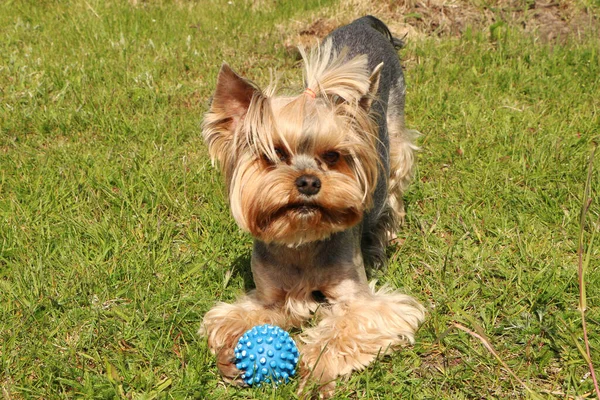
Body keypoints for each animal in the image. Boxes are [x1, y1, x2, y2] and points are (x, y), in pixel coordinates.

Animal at [199, 14, 424, 396]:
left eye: (332, 156)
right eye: (274, 153)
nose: (308, 181)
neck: (302, 239)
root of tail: (365, 20)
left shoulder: (362, 300)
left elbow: (348, 324)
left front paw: (312, 367)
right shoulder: (270, 294)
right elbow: (236, 318)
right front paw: (231, 353)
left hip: (394, 140)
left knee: (392, 187)